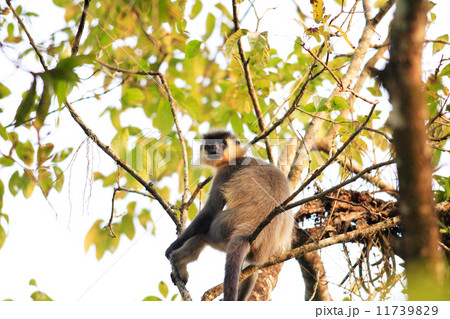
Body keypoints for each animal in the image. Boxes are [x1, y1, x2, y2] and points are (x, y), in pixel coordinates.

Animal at [163, 131, 294, 302]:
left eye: (222, 143)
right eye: (209, 143)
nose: (212, 147)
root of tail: (252, 227)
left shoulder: (226, 171)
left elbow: (211, 210)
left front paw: (172, 247)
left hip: (222, 228)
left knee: (202, 234)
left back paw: (178, 262)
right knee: (251, 269)